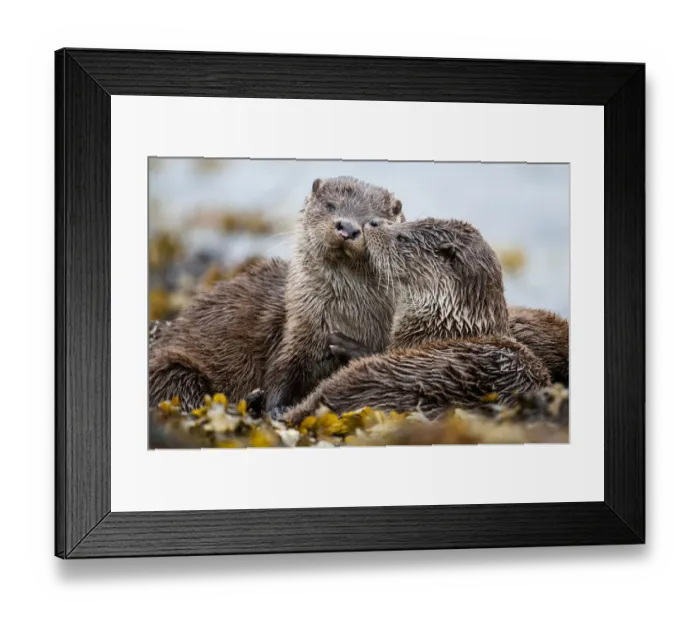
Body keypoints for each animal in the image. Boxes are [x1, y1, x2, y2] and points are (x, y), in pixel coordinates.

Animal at [148, 177, 404, 412]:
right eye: (331, 206)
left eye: (374, 221)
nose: (348, 228)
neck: (347, 317)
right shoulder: (298, 329)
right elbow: (282, 371)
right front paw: (276, 407)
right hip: (173, 369)